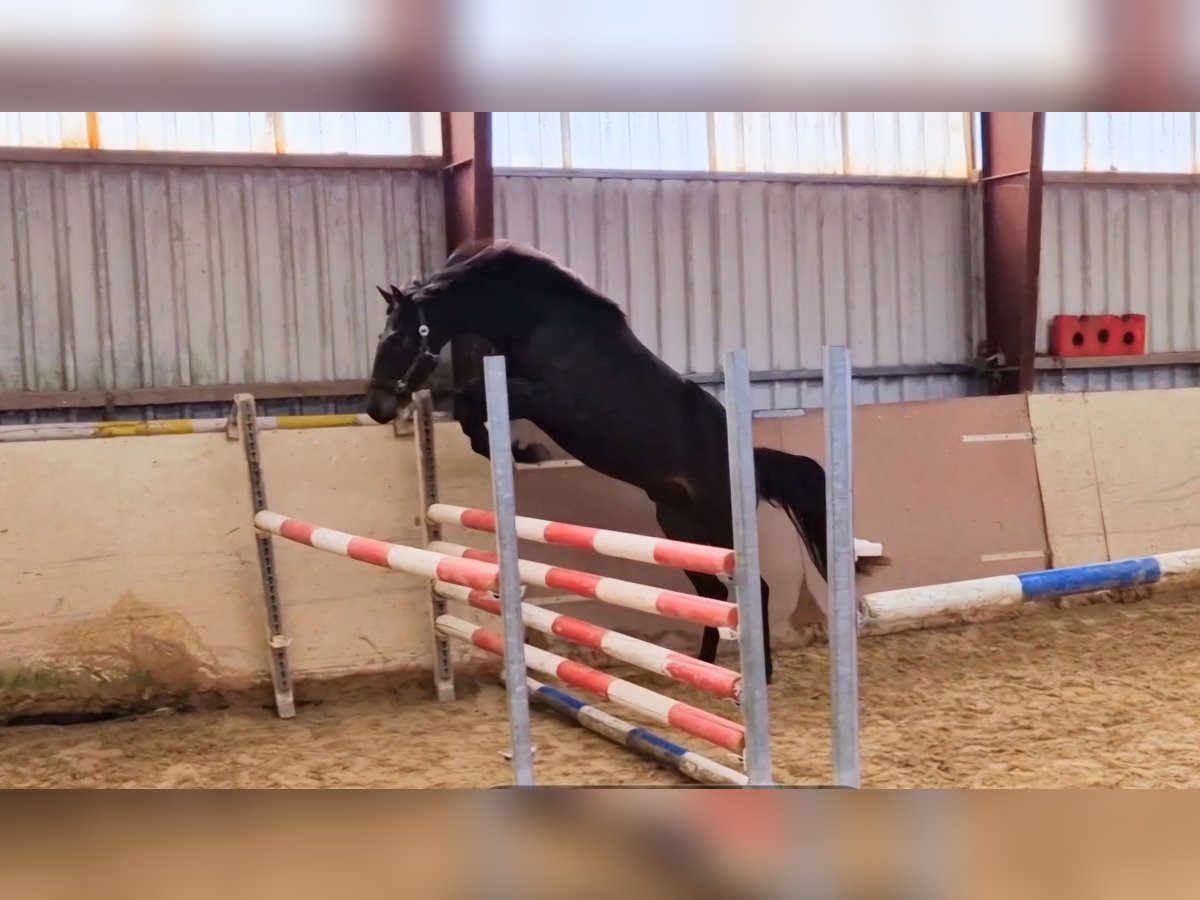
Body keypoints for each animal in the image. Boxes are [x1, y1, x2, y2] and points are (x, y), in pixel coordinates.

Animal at [360, 240, 888, 681]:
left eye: (399, 338)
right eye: (381, 336)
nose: (377, 407)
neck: (541, 323)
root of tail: (752, 460)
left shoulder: (547, 399)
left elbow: (473, 401)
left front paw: (521, 452)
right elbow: (471, 408)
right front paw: (512, 450)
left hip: (718, 526)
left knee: (752, 589)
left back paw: (758, 675)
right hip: (679, 528)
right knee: (712, 596)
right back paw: (698, 670)